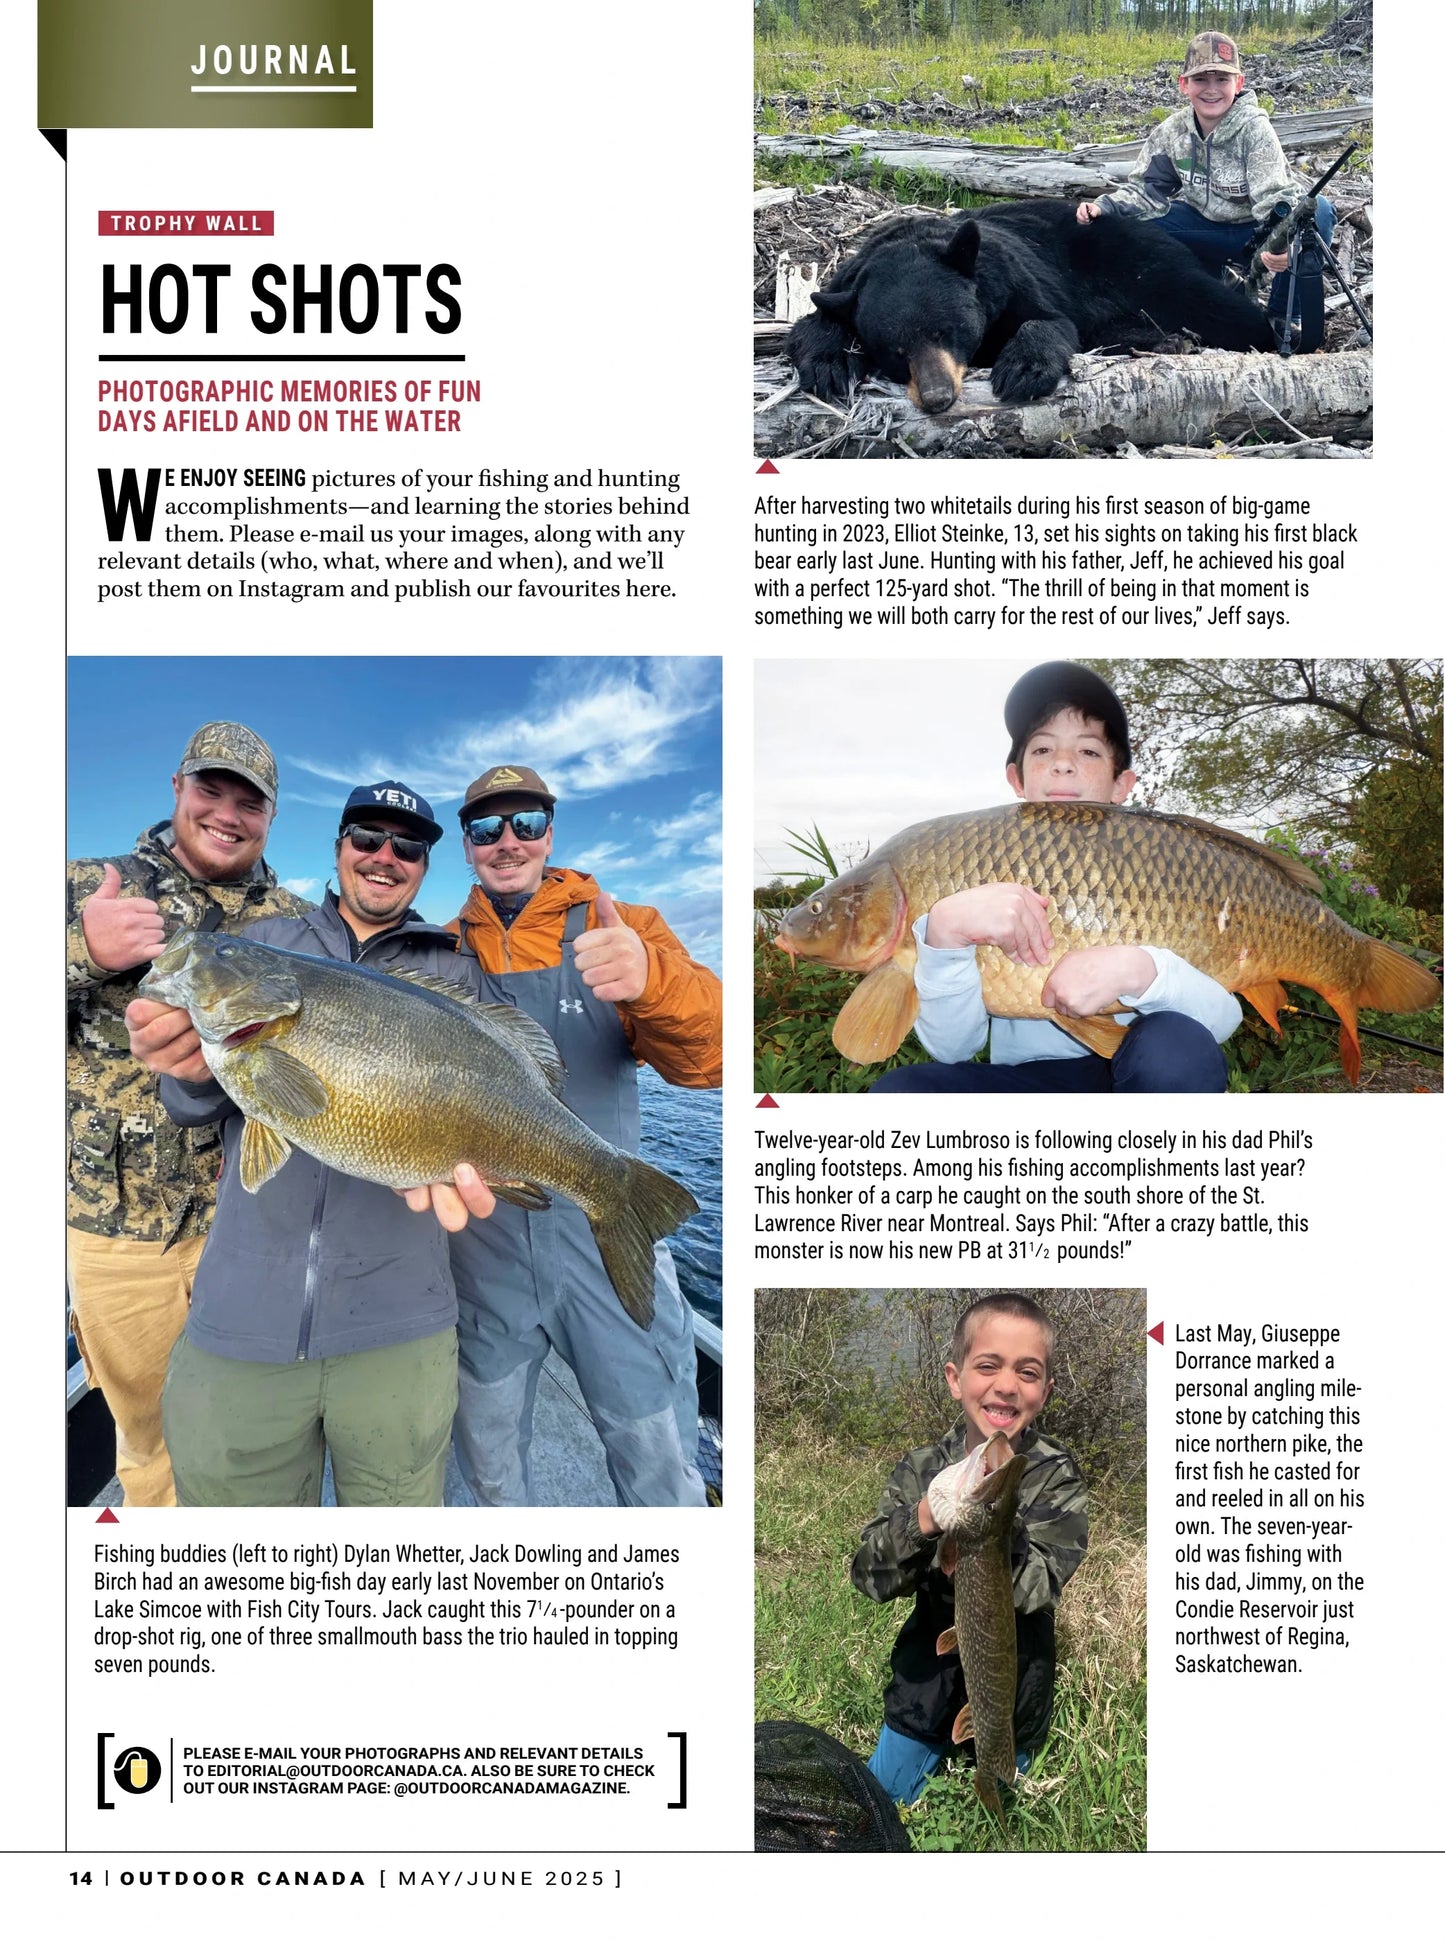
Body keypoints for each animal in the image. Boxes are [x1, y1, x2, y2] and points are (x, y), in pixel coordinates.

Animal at [787, 197, 1277, 411]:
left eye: (945, 330)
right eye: (895, 351)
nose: (937, 397)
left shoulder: (1014, 282)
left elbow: (1049, 321)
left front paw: (1022, 370)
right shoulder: (847, 281)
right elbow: (813, 318)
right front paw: (829, 365)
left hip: (1148, 266)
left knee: (1216, 305)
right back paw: (1164, 341)